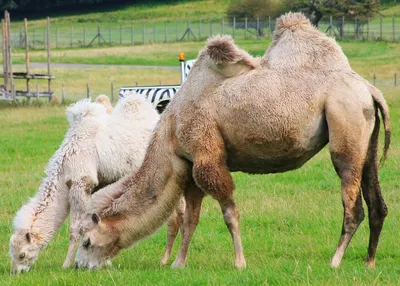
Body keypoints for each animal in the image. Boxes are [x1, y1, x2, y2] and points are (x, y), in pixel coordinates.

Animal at [76, 11, 390, 270]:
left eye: (86, 241)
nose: (79, 266)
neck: (170, 131)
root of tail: (369, 88)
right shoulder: (190, 165)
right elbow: (191, 219)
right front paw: (178, 264)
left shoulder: (206, 156)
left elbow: (229, 213)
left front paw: (240, 263)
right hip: (366, 140)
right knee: (377, 202)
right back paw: (369, 262)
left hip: (345, 123)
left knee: (353, 205)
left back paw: (335, 261)